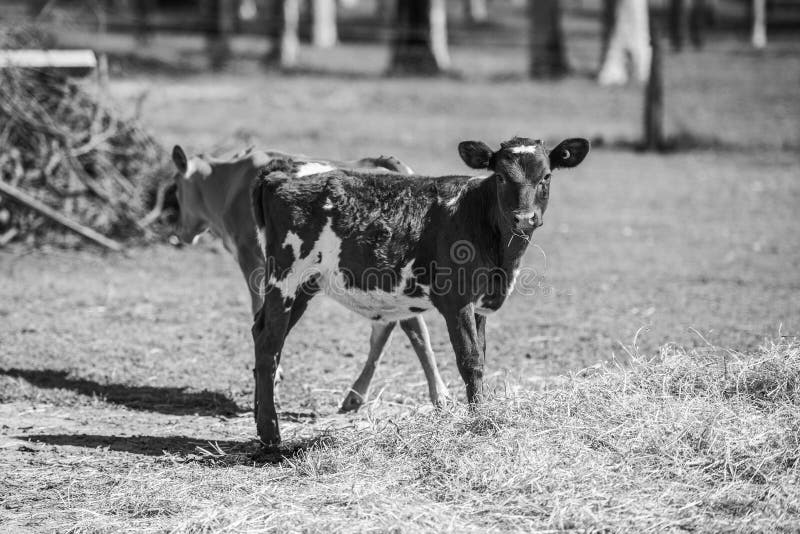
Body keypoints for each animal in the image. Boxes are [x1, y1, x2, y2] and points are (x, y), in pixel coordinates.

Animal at [170, 146, 449, 413]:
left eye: (178, 189)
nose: (181, 233)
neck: (229, 181)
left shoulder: (251, 261)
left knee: (412, 330)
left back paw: (437, 395)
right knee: (393, 328)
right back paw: (359, 396)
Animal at [251, 136, 590, 444]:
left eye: (546, 176)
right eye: (501, 176)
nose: (524, 217)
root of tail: (281, 173)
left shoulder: (480, 304)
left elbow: (481, 356)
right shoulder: (457, 300)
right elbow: (470, 361)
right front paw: (478, 421)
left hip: (305, 284)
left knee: (260, 331)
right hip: (285, 277)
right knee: (269, 344)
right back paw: (270, 435)